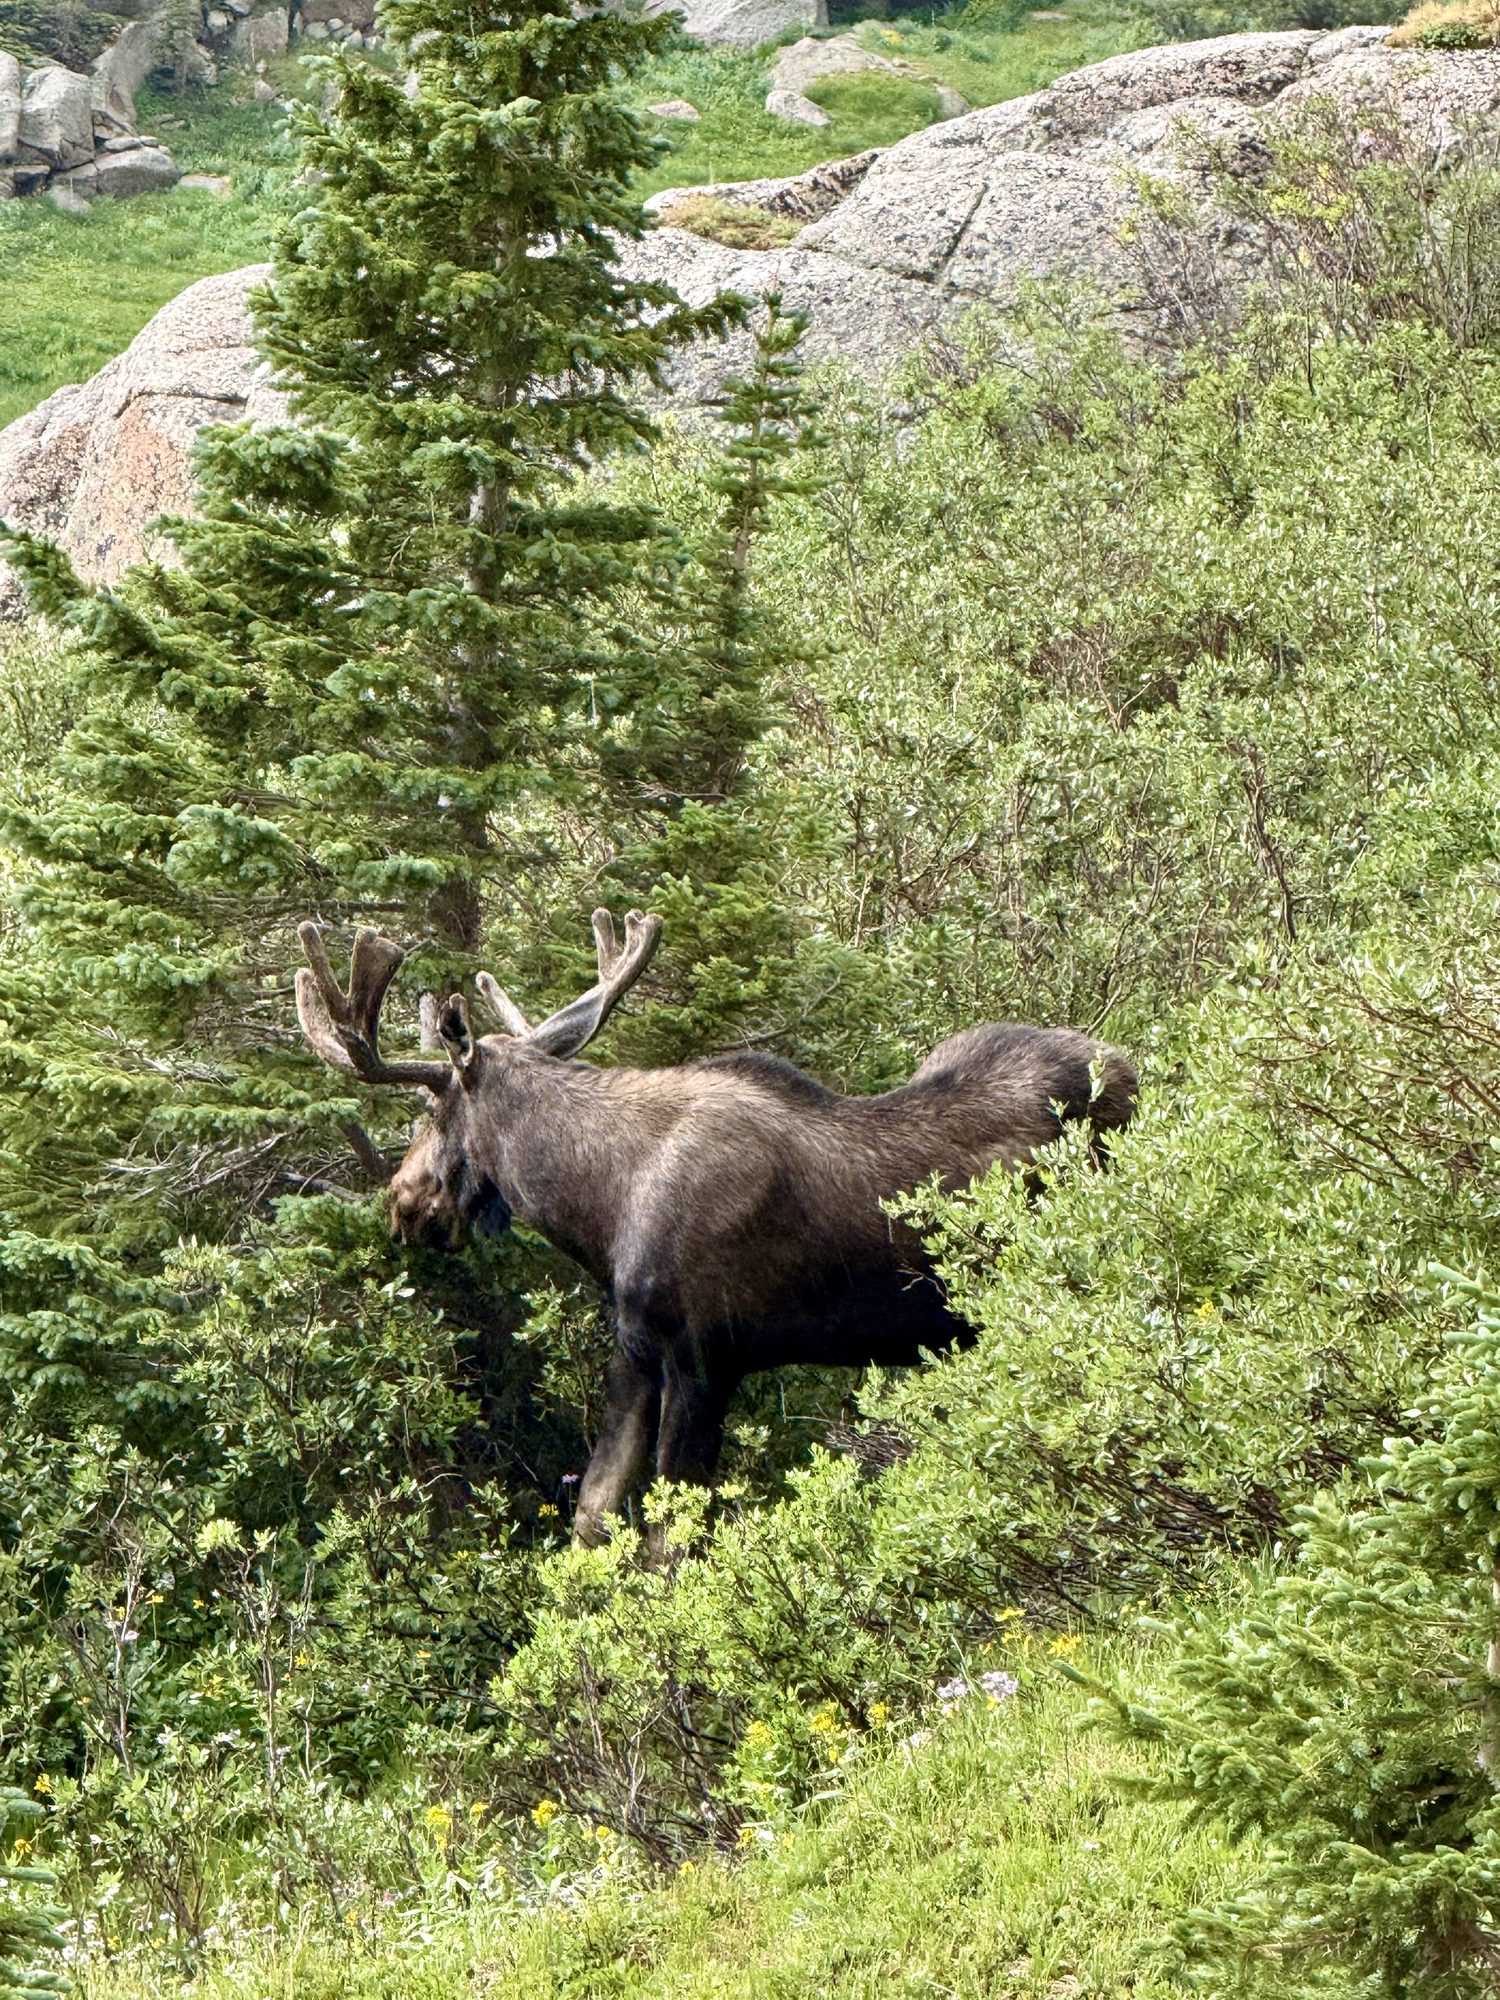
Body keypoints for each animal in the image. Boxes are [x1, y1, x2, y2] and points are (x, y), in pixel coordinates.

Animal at [293, 910, 1137, 1545]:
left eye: (432, 1110)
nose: (404, 1205)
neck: (599, 1206)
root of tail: (1137, 1072)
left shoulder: (707, 1358)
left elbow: (671, 1538)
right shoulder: (639, 1353)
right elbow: (593, 1515)